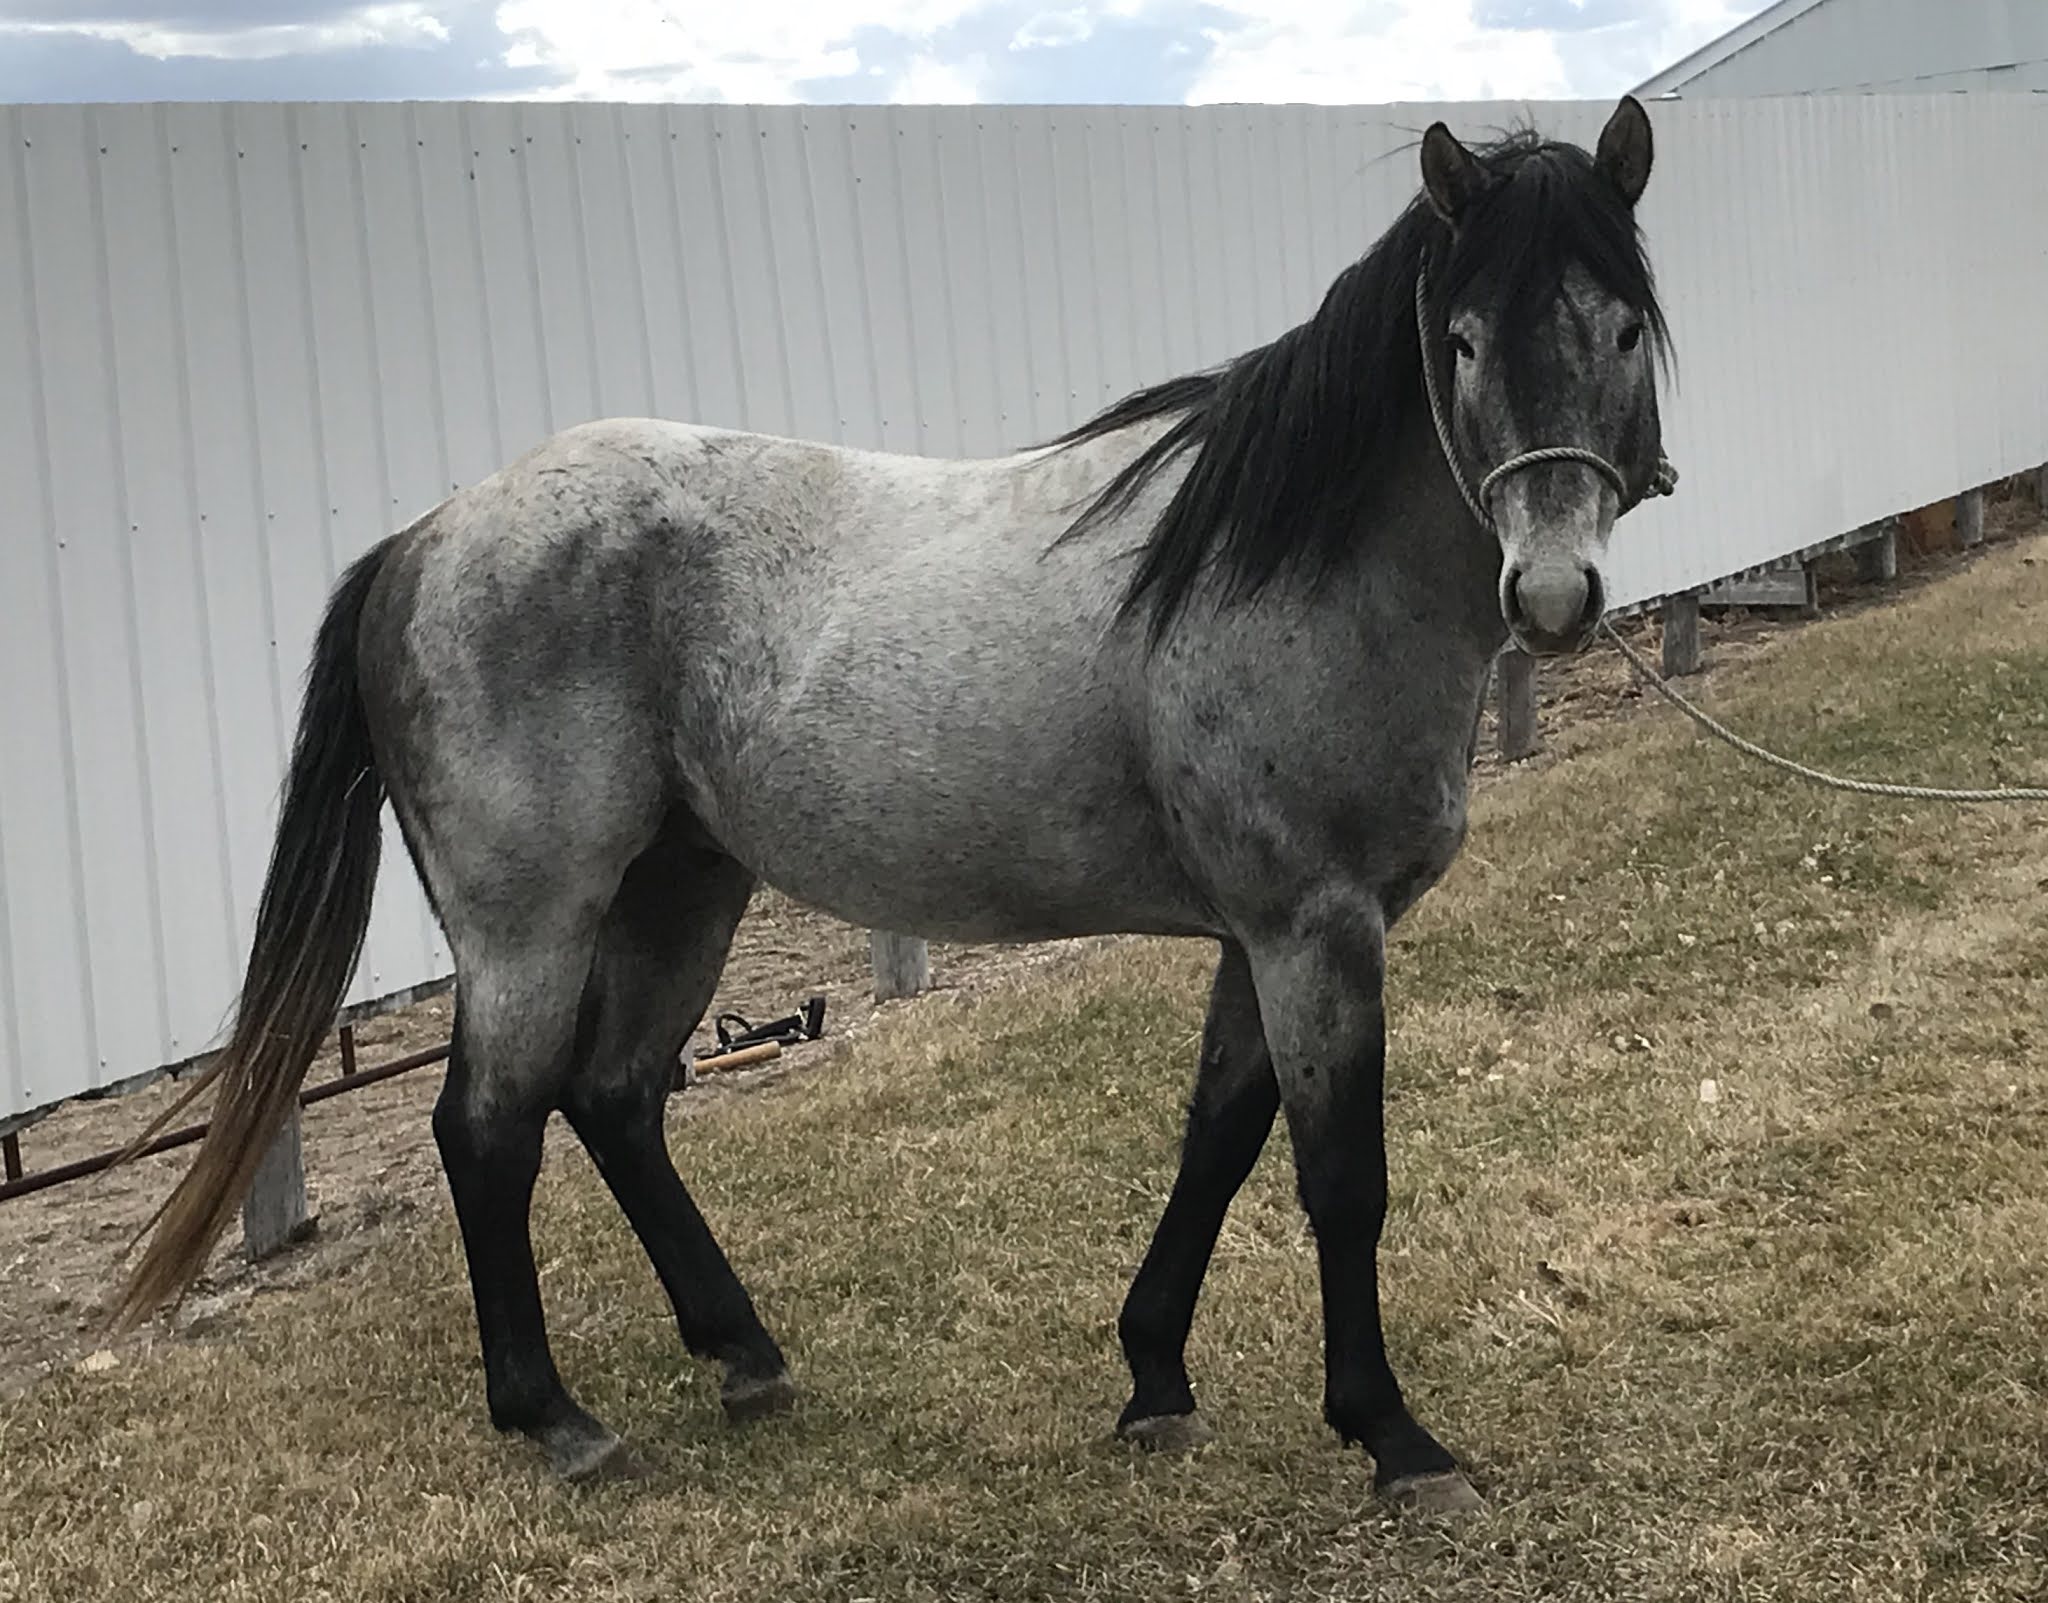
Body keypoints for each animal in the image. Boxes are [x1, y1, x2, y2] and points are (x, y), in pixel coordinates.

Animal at [111, 95, 1674, 1518]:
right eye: (1458, 342)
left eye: (1618, 329)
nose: (1552, 595)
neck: (1281, 565)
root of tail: (422, 538)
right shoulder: (1314, 928)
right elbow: (1337, 1177)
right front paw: (1393, 1437)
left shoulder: (1265, 936)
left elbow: (1217, 1138)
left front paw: (1153, 1375)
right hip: (529, 926)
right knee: (488, 1129)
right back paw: (559, 1417)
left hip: (684, 887)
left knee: (612, 1097)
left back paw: (742, 1353)